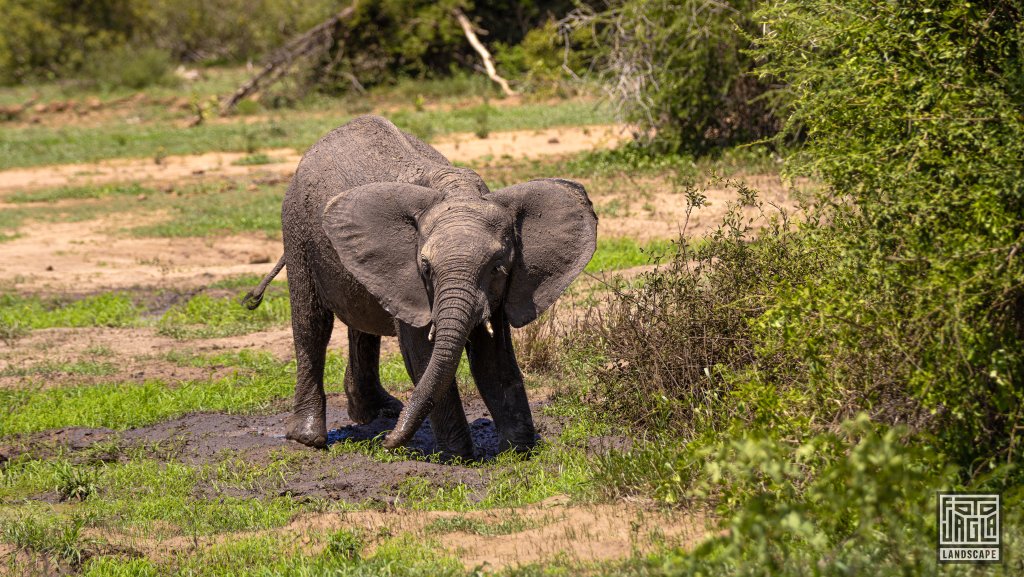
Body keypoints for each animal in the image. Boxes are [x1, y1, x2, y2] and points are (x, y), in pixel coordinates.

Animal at [245, 116, 598, 461]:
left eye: (498, 267)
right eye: (426, 268)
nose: (386, 444)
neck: (456, 192)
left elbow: (493, 356)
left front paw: (520, 450)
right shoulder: (408, 274)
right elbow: (422, 352)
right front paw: (458, 457)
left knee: (362, 323)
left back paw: (379, 414)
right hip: (296, 228)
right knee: (311, 324)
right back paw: (309, 439)